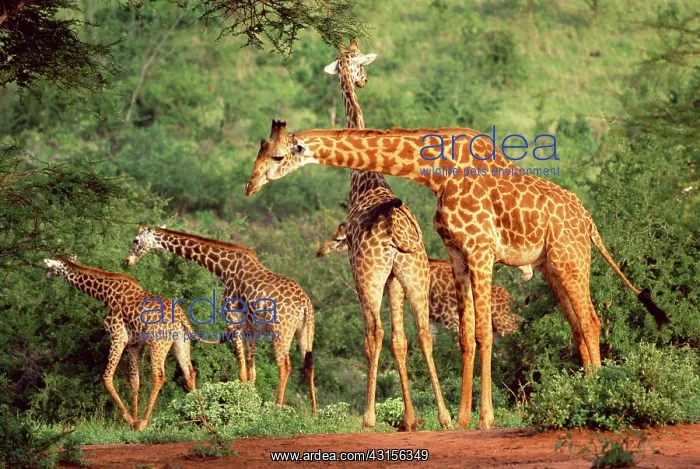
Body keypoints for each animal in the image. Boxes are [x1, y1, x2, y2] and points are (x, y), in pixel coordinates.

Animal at [43, 256, 219, 430]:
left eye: (50, 266)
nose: (47, 275)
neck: (104, 294)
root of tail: (182, 317)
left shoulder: (118, 336)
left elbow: (107, 377)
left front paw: (131, 420)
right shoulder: (133, 344)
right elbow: (135, 381)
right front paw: (134, 422)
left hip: (158, 343)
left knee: (159, 375)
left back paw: (146, 421)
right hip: (181, 342)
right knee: (190, 372)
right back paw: (200, 419)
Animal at [124, 224, 317, 415]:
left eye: (136, 240)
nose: (127, 260)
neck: (225, 269)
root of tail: (305, 303)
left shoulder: (234, 324)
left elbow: (241, 373)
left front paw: (242, 408)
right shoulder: (250, 330)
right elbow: (251, 372)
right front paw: (251, 406)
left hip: (281, 331)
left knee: (284, 366)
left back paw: (277, 411)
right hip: (304, 332)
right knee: (309, 365)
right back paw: (314, 414)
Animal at [302, 40, 450, 431]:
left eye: (358, 64)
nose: (364, 80)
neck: (365, 180)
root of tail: (393, 229)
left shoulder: (364, 276)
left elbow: (380, 336)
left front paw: (385, 416)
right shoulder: (395, 280)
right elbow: (402, 340)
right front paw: (410, 418)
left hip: (369, 277)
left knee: (374, 334)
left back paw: (368, 417)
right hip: (416, 273)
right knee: (423, 333)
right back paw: (445, 416)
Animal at [316, 222, 521, 338]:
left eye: (338, 239)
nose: (320, 252)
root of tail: (510, 298)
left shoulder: (450, 321)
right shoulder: (434, 322)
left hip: (503, 324)